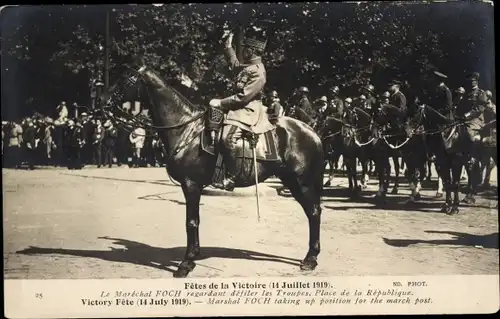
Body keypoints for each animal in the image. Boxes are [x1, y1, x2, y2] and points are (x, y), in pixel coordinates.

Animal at [103, 66, 326, 278]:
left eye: (126, 80)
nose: (105, 106)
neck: (186, 130)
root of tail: (312, 131)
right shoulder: (194, 186)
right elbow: (194, 221)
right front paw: (192, 258)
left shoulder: (191, 185)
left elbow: (191, 222)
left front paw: (186, 263)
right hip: (292, 181)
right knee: (312, 212)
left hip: (302, 183)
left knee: (314, 212)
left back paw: (310, 259)